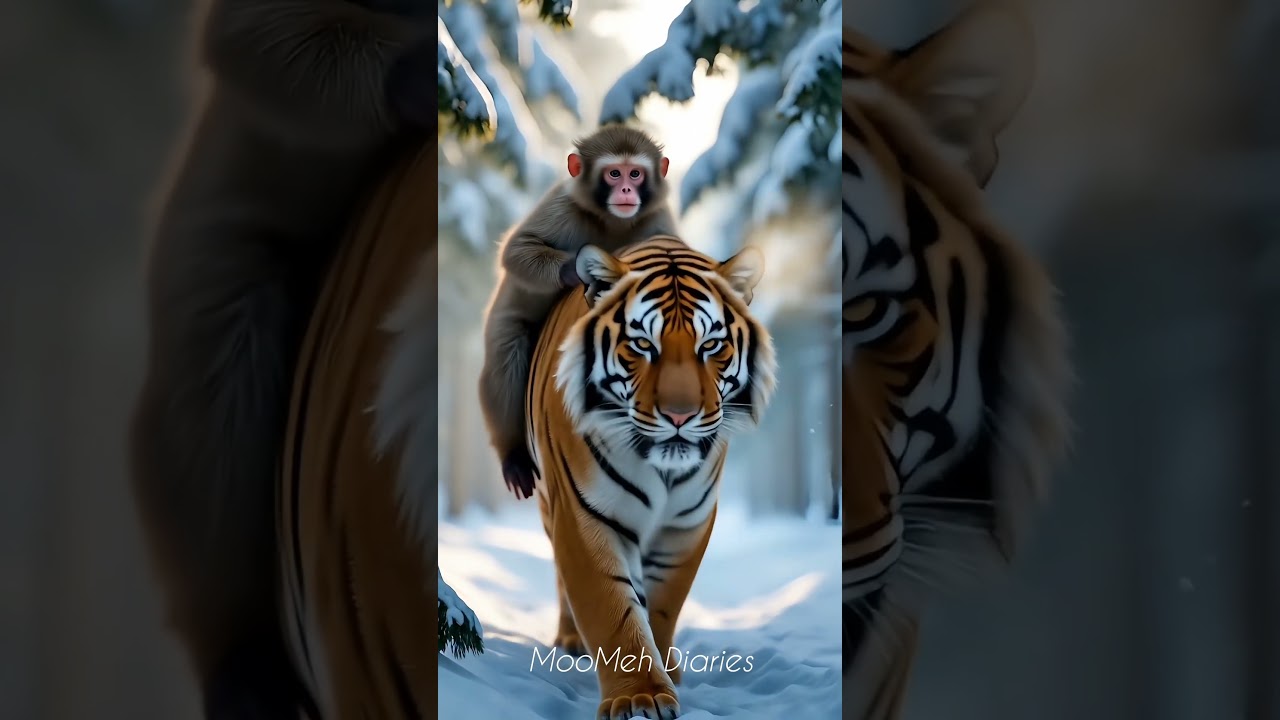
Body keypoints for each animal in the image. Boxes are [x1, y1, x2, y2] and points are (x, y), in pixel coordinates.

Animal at [525, 235, 777, 720]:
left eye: (711, 345)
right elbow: (610, 606)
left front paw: (663, 672)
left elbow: (661, 605)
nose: (680, 415)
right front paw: (639, 697)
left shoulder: (687, 524)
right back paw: (571, 641)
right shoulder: (585, 515)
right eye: (642, 344)